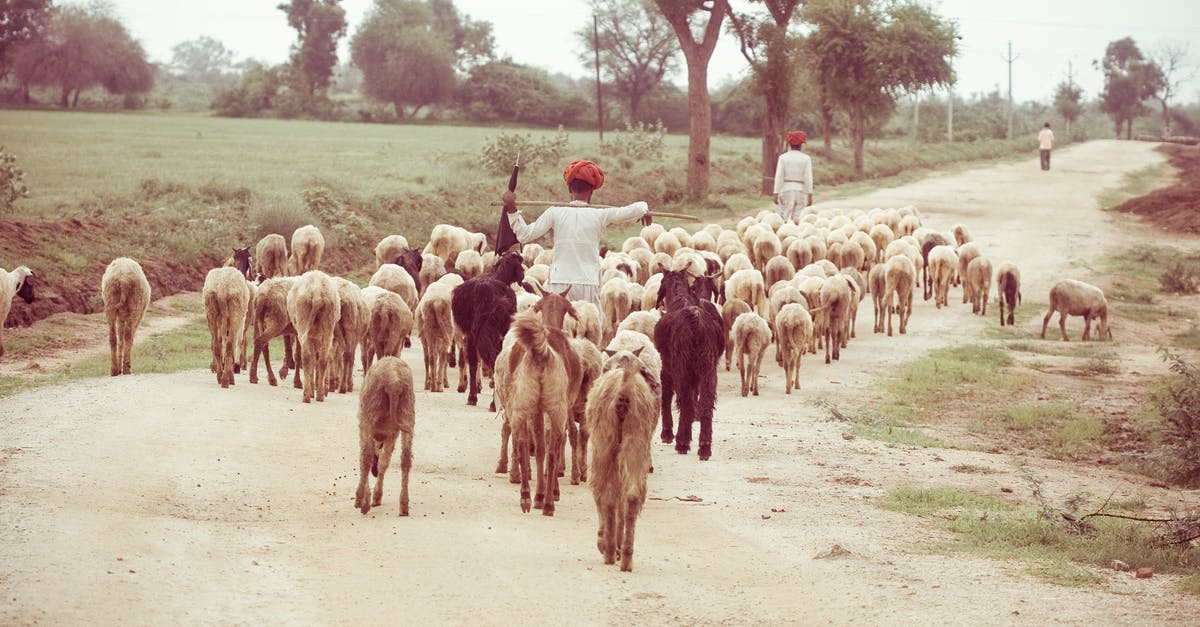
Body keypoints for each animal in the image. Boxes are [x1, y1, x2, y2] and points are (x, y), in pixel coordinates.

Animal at [282, 266, 338, 401]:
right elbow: (316, 359)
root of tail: (317, 293)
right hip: (328, 325)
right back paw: (320, 395)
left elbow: (309, 358)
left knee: (306, 357)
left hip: (303, 319)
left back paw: (307, 395)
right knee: (323, 359)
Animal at [350, 353, 417, 514]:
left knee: (366, 457)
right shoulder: (392, 434)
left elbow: (369, 457)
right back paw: (403, 505)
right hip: (407, 414)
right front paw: (375, 497)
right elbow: (383, 462)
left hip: (367, 415)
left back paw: (360, 500)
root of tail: (394, 382)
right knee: (405, 459)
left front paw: (367, 499)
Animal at [588, 345, 662, 571]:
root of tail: (625, 387)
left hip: (604, 444)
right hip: (635, 442)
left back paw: (609, 549)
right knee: (631, 495)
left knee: (605, 494)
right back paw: (626, 556)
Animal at [652, 267, 724, 458]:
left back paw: (682, 442)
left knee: (685, 402)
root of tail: (695, 320)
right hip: (708, 369)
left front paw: (667, 434)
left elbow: (667, 396)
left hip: (682, 367)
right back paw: (704, 447)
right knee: (706, 404)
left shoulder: (667, 366)